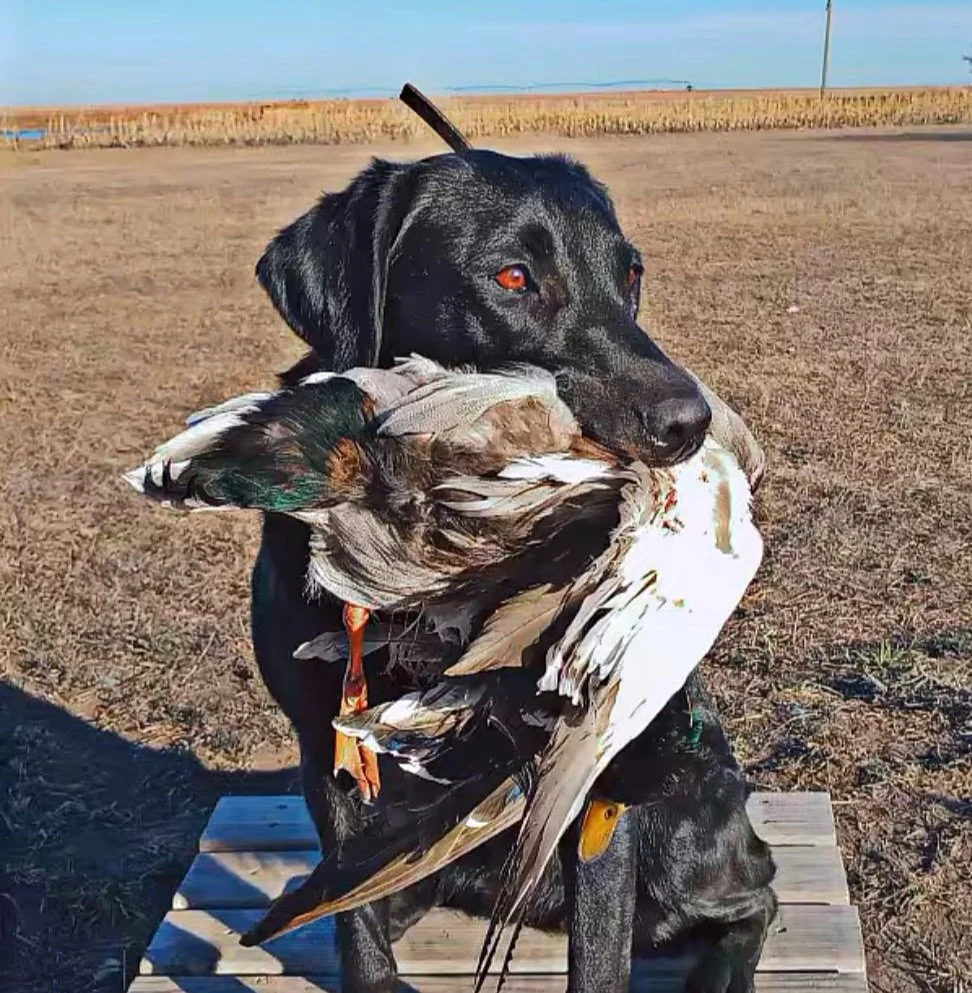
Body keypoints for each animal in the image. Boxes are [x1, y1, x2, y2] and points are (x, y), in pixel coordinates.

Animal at [249, 149, 777, 993]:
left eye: (631, 273)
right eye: (512, 277)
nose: (689, 425)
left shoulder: (594, 784)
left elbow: (600, 957)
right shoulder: (328, 750)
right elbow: (358, 932)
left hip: (679, 811)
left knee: (754, 888)